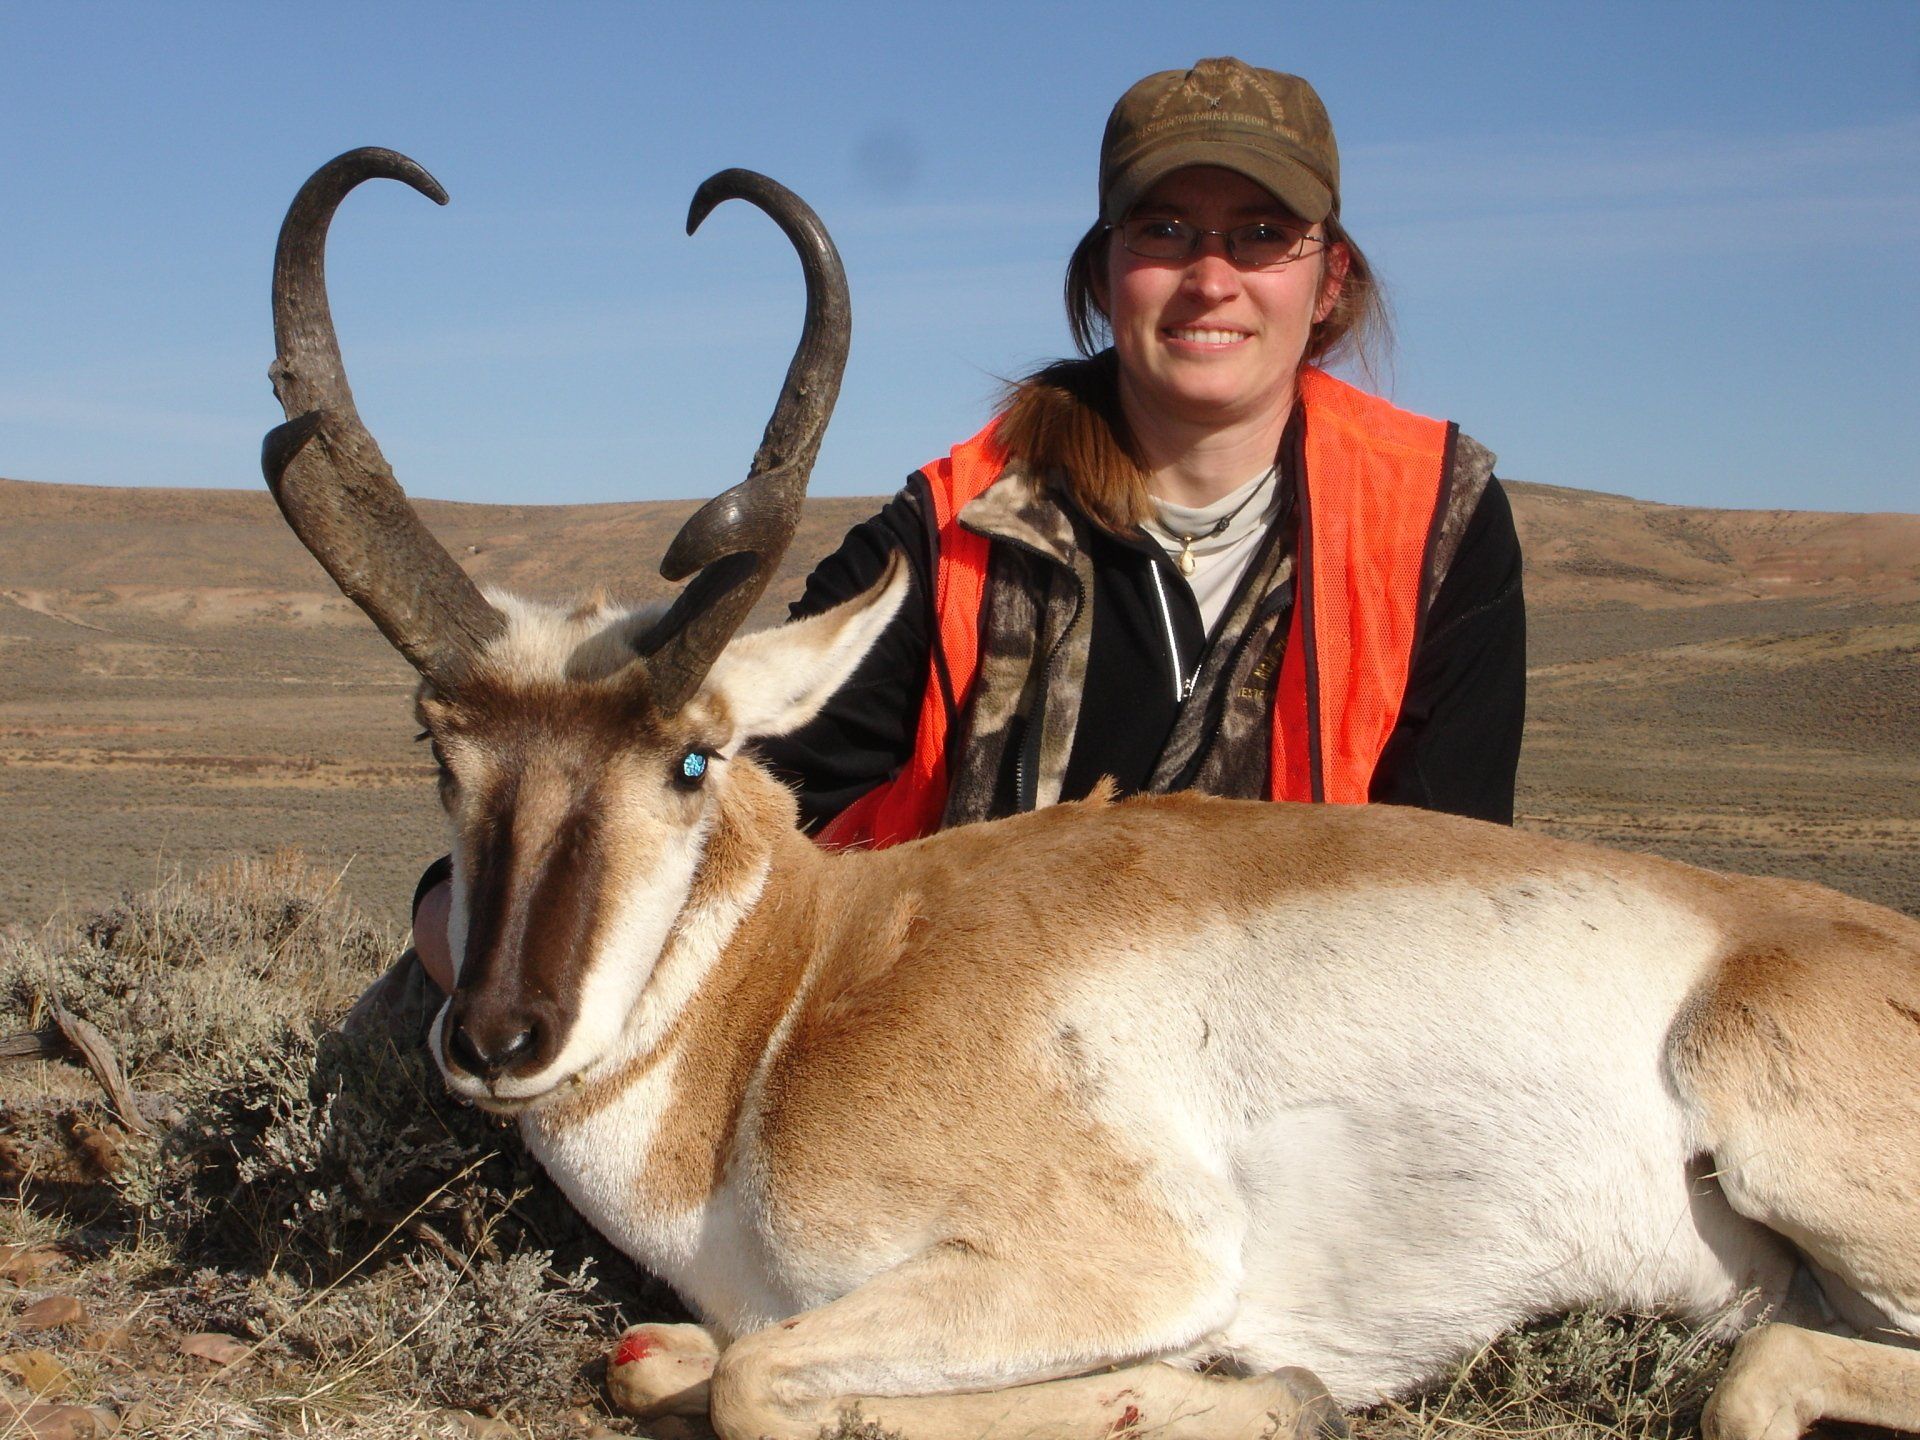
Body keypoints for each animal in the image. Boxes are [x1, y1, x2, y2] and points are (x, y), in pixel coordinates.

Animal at [264, 148, 1920, 1440]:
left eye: (689, 756)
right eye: (440, 749)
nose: (498, 1037)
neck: (805, 987)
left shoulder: (1116, 1261)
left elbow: (756, 1381)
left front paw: (1253, 1388)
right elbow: (670, 1356)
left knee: (1764, 1373)